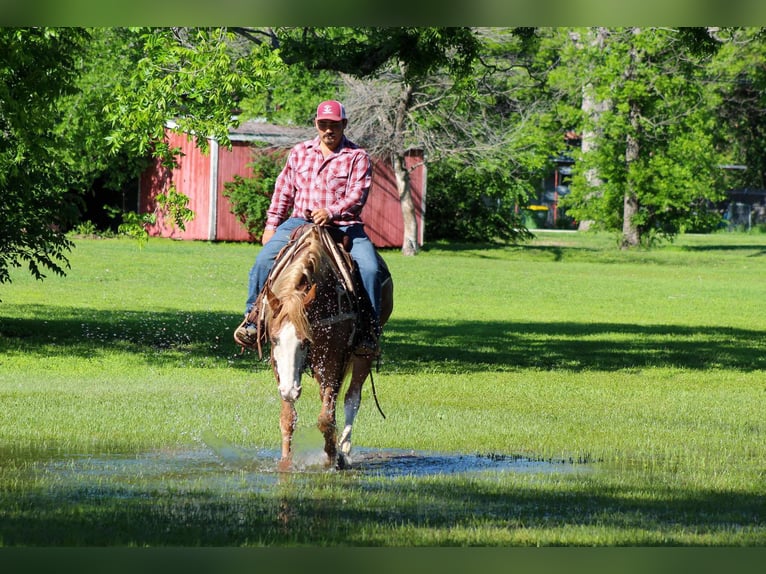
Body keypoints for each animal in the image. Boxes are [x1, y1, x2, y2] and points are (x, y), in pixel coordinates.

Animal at [253, 224, 393, 470]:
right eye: (274, 339)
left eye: (305, 341)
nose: (290, 390)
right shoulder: (278, 364)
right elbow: (288, 417)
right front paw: (286, 462)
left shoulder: (332, 359)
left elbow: (326, 418)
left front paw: (331, 458)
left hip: (362, 355)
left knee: (351, 399)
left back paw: (344, 450)